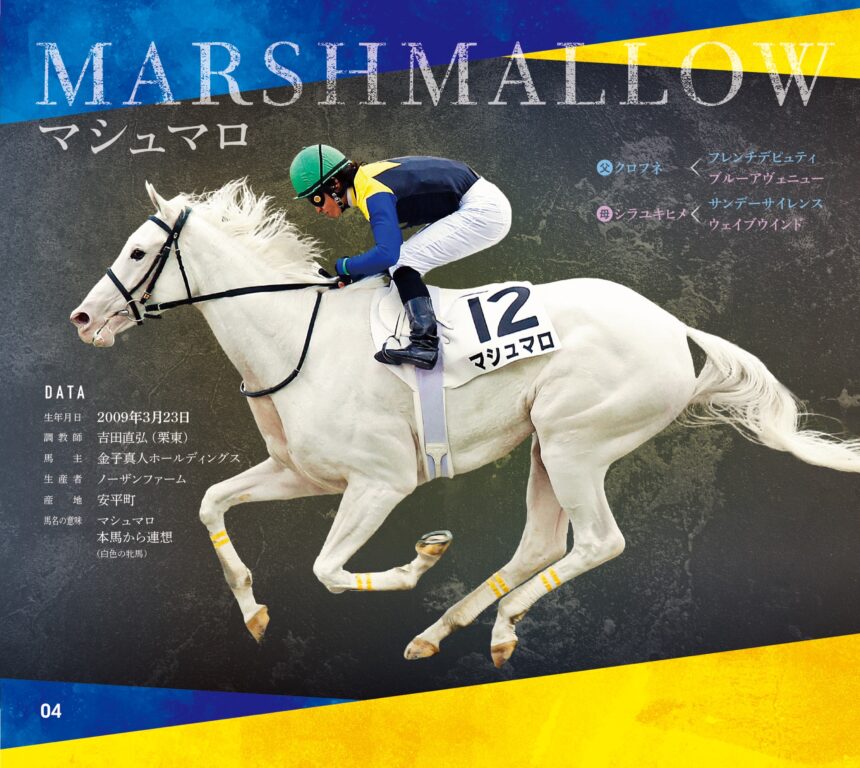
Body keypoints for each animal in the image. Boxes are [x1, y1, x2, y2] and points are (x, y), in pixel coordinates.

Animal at [70, 180, 860, 667]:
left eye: (138, 252)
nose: (81, 318)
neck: (296, 335)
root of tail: (671, 326)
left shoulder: (381, 481)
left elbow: (328, 568)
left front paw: (420, 561)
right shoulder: (304, 472)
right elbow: (211, 502)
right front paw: (253, 611)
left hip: (576, 442)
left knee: (596, 541)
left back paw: (496, 625)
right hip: (546, 447)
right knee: (540, 544)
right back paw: (447, 631)